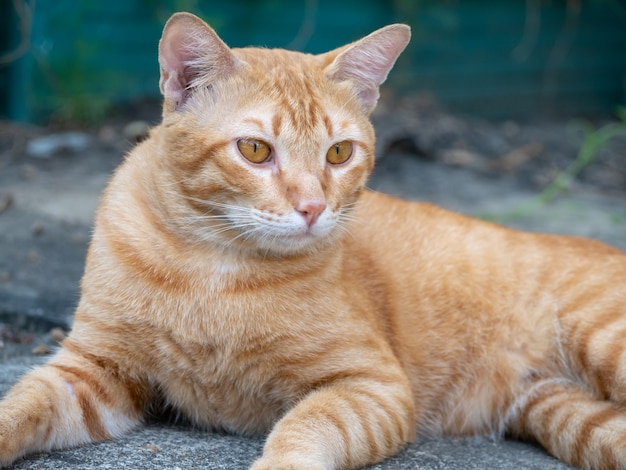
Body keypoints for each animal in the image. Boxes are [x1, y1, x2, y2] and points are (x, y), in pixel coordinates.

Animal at [1, 11, 624, 470]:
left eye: (339, 153)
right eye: (255, 150)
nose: (313, 208)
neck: (212, 265)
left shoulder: (370, 386)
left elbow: (303, 430)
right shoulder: (92, 370)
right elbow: (21, 406)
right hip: (569, 415)